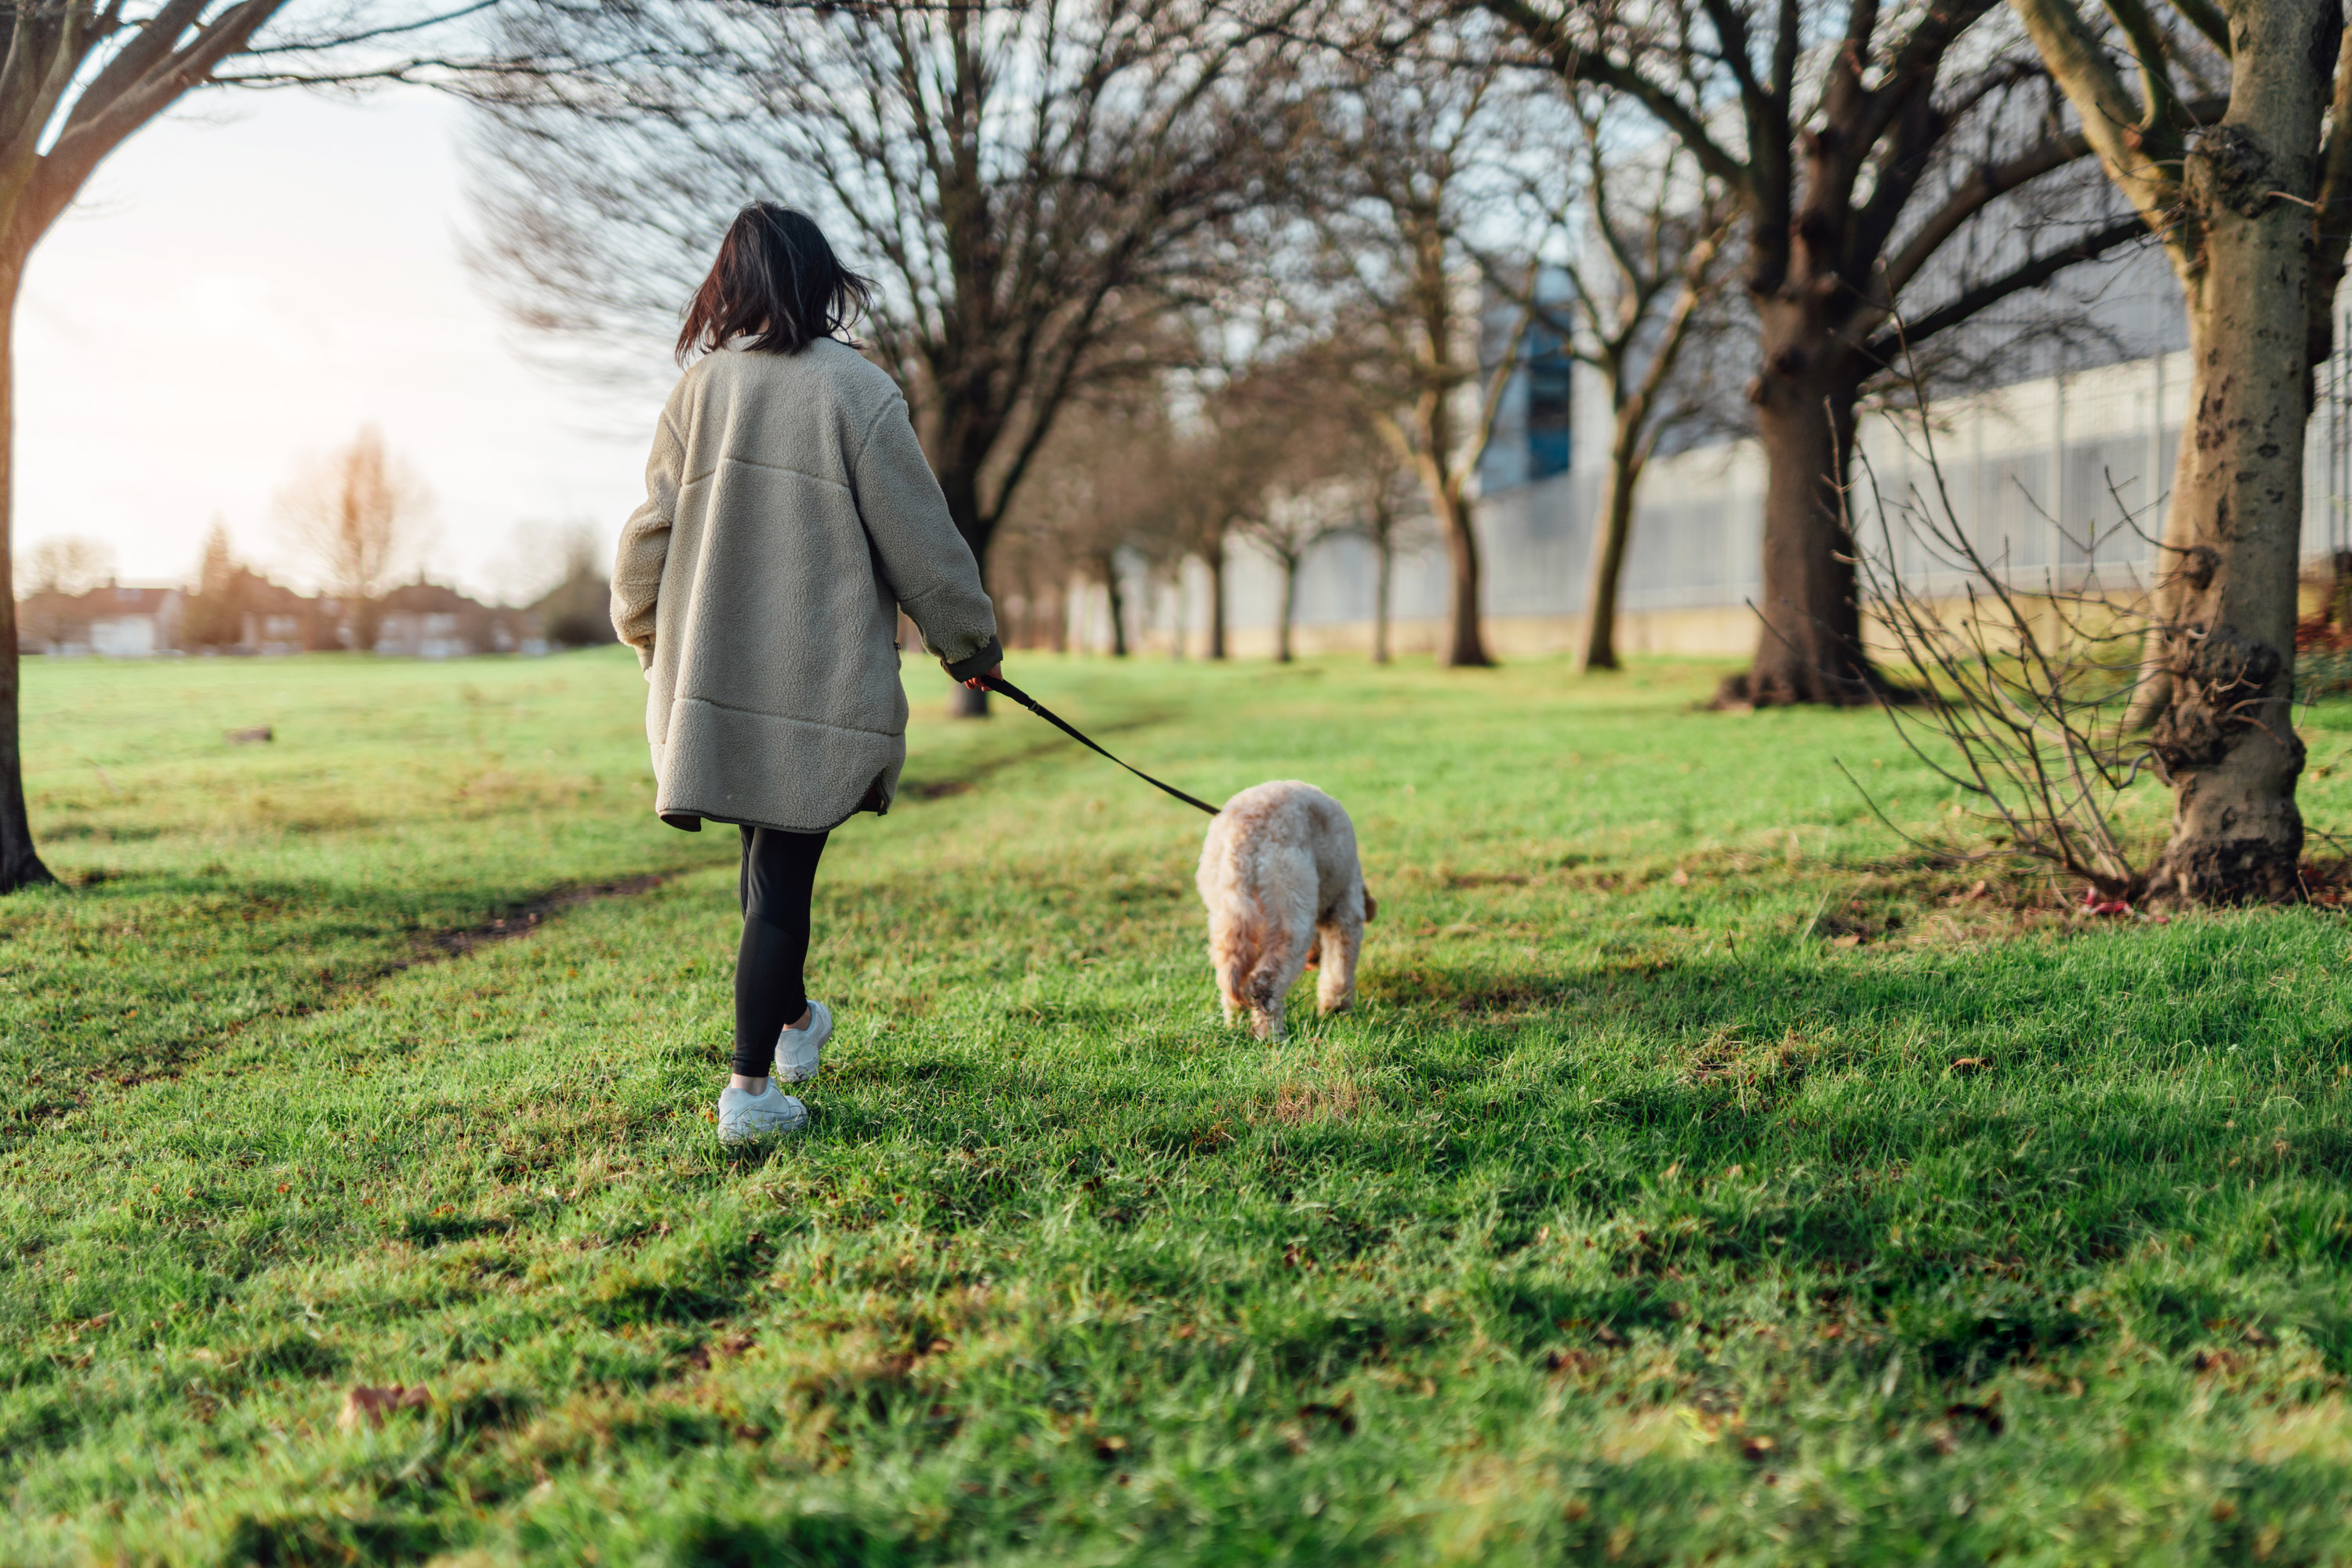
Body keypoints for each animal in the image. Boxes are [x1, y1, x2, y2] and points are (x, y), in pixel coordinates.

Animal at [1204, 780, 1374, 1044]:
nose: (1312, 961)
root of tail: (1243, 833)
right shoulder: (1346, 911)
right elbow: (1339, 967)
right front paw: (1337, 1010)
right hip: (1290, 906)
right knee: (1264, 982)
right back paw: (1273, 1036)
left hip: (1227, 912)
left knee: (1230, 977)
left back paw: (1235, 1025)